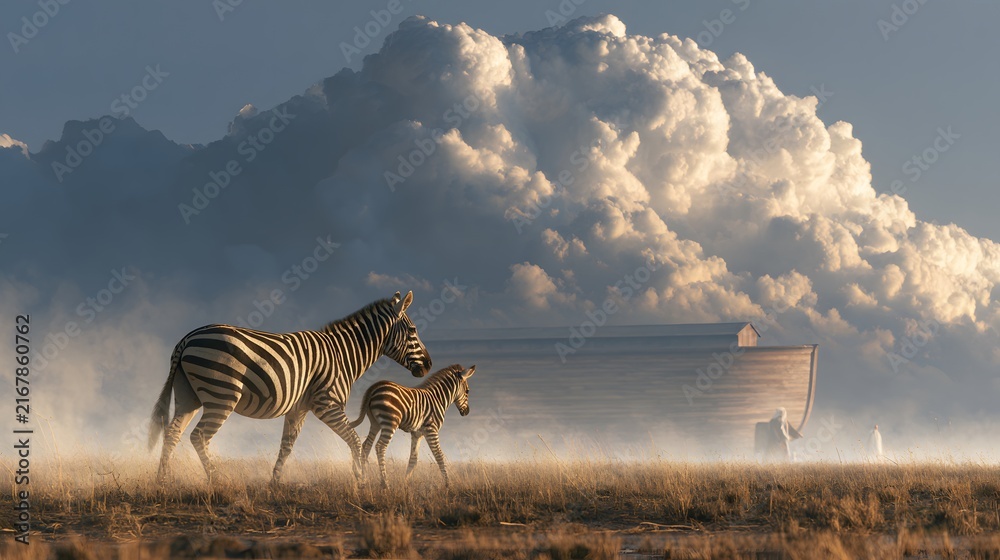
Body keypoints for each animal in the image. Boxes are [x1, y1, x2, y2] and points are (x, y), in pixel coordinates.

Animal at [148, 291, 431, 484]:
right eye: (413, 330)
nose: (428, 365)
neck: (342, 354)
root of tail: (187, 338)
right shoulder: (327, 403)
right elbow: (354, 440)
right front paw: (360, 480)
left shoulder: (299, 408)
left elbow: (286, 446)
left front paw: (274, 483)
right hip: (222, 394)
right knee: (199, 436)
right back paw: (217, 481)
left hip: (189, 395)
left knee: (172, 432)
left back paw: (163, 480)